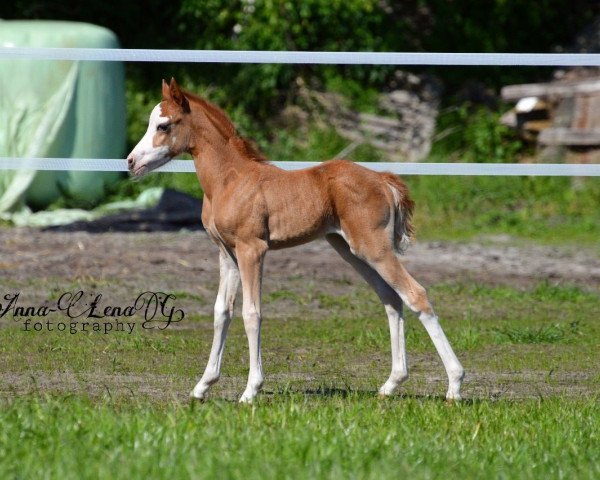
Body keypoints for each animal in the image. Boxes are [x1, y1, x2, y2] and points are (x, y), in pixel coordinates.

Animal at [126, 80, 464, 404]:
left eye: (163, 125)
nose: (130, 162)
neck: (230, 180)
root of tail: (383, 179)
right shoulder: (227, 254)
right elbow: (222, 312)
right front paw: (202, 387)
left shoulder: (252, 250)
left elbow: (252, 313)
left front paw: (250, 391)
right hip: (352, 250)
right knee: (392, 299)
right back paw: (391, 384)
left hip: (374, 248)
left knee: (416, 294)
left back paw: (455, 386)